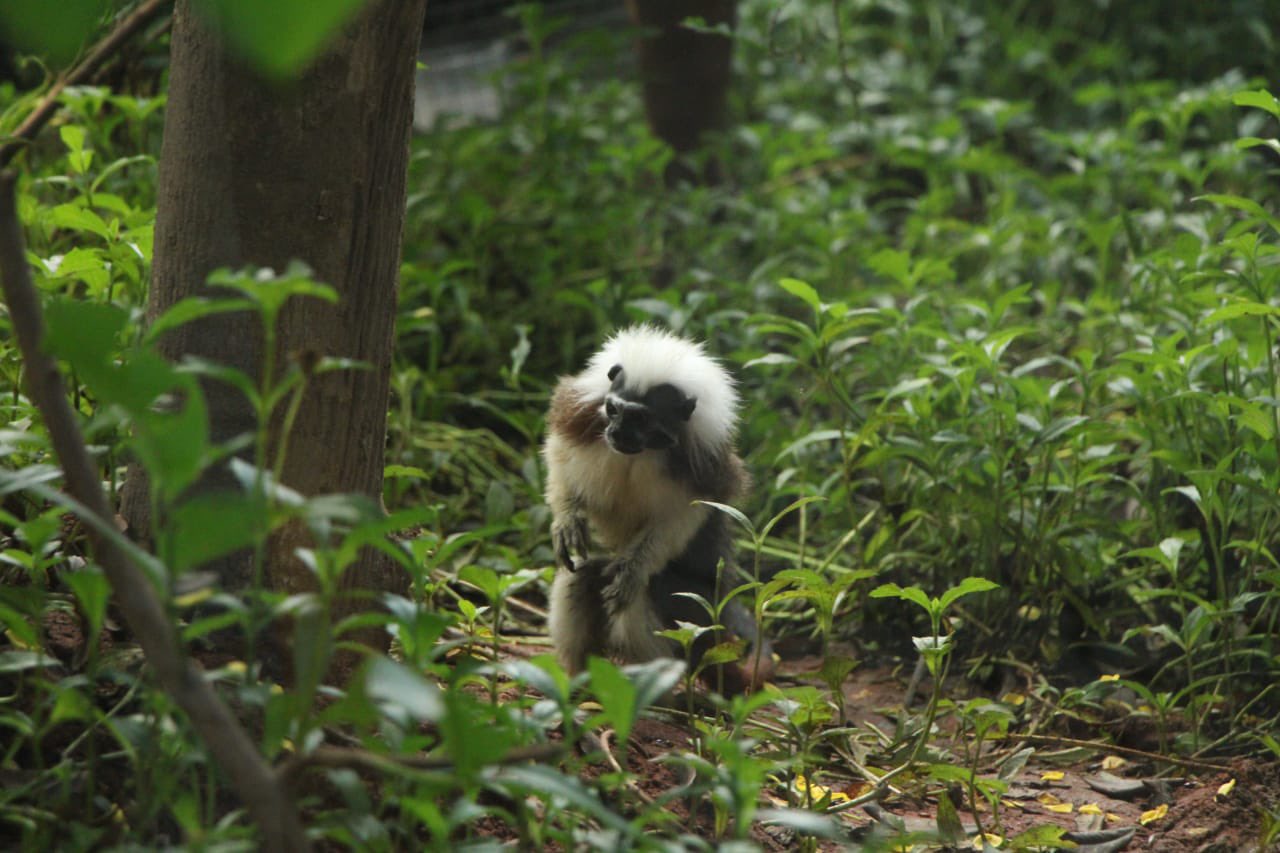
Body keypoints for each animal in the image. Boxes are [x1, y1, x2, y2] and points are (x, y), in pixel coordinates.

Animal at [542, 324, 768, 691]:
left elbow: (680, 521)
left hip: (699, 618)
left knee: (640, 594)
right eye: (614, 409)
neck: (644, 450)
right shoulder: (584, 416)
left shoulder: (702, 465)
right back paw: (581, 682)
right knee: (584, 574)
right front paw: (566, 521)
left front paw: (634, 570)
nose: (617, 432)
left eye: (640, 418)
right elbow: (560, 454)